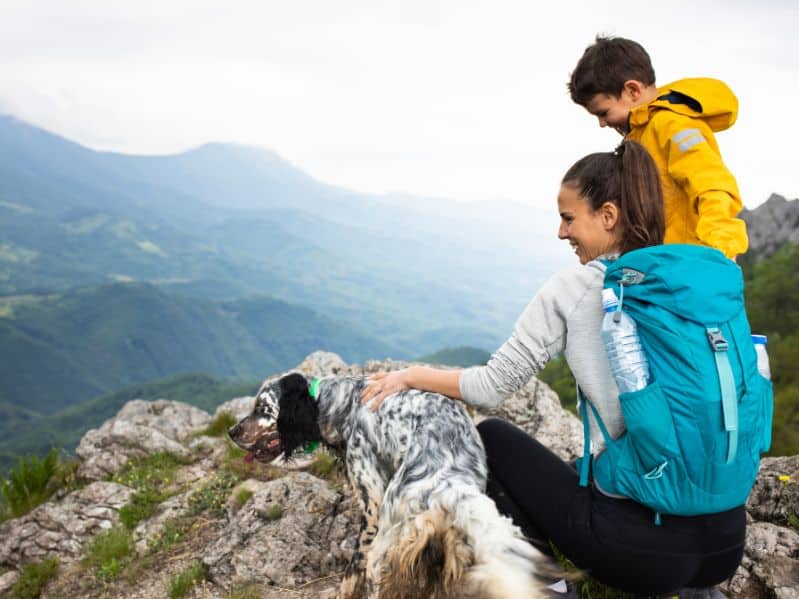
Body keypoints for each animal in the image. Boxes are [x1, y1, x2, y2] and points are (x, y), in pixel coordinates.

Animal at [228, 372, 548, 596]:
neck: (344, 404)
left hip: (384, 549)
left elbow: (349, 574)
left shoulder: (371, 507)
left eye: (262, 408)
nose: (231, 431)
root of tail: (449, 486)